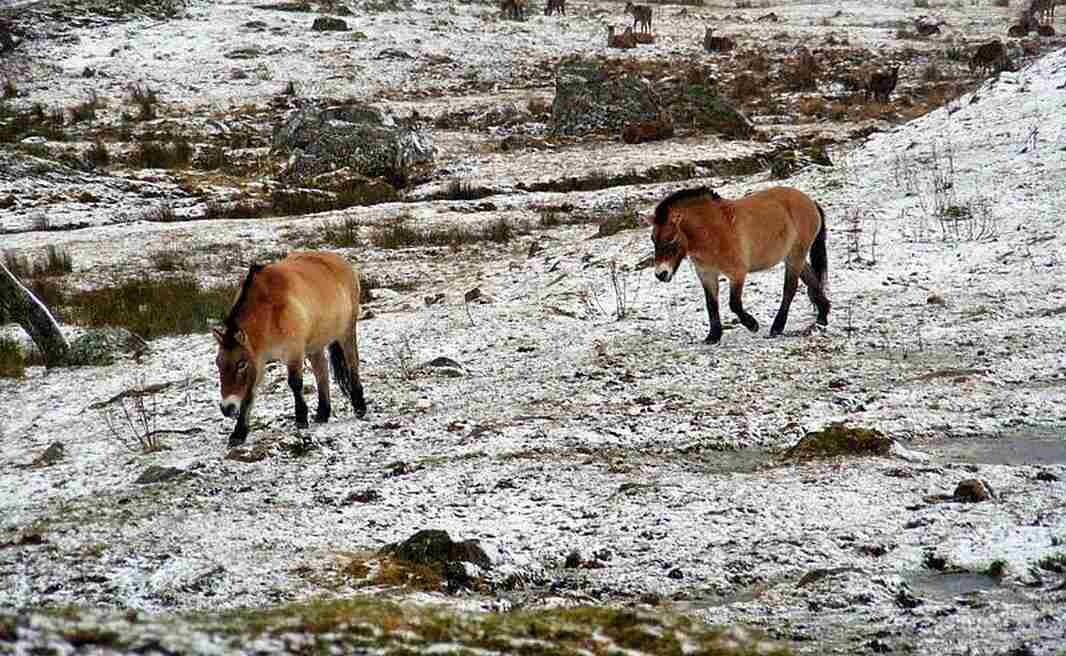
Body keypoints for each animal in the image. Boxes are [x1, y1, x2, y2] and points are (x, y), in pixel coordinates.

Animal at [212, 251, 366, 447]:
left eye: (241, 364)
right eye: (218, 364)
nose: (227, 408)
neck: (269, 311)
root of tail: (341, 262)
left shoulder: (293, 352)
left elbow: (295, 383)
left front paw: (301, 419)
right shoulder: (258, 360)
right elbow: (249, 394)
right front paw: (238, 433)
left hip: (346, 333)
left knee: (352, 364)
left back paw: (359, 406)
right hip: (315, 345)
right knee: (321, 372)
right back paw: (323, 413)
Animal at [646, 186, 830, 344]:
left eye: (671, 239)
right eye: (653, 239)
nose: (661, 274)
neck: (712, 230)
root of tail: (810, 202)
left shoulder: (737, 273)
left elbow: (734, 304)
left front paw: (752, 325)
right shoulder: (707, 275)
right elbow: (711, 304)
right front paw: (713, 337)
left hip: (794, 257)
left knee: (790, 290)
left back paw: (777, 328)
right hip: (794, 257)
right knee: (813, 282)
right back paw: (822, 317)